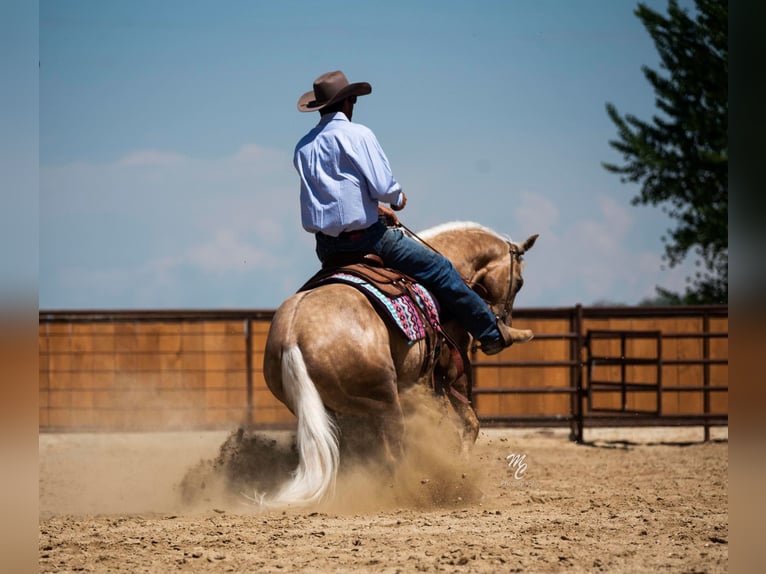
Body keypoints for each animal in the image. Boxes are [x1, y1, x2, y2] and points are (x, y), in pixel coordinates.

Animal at [264, 223, 540, 506]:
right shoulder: (452, 365)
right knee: (395, 448)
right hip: (383, 400)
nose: (503, 321)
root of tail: (293, 336)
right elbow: (469, 423)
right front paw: (461, 469)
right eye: (519, 282)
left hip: (337, 407)